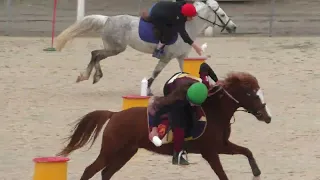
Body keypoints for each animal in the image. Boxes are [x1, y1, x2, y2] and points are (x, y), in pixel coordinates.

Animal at [57, 71, 272, 180]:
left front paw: (257, 172)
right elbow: (223, 174)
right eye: (252, 94)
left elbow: (247, 151)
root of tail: (115, 115)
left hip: (126, 152)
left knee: (106, 172)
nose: (266, 117)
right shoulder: (210, 152)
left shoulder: (222, 146)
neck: (215, 112)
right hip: (111, 151)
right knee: (90, 170)